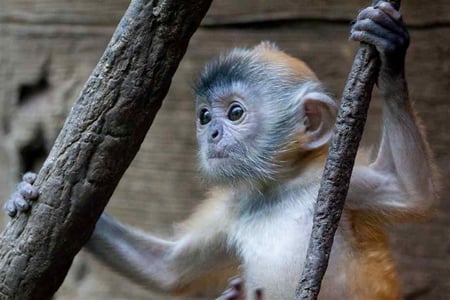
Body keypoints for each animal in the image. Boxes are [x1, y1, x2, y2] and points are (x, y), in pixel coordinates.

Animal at [5, 2, 438, 300]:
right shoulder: (234, 208)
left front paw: (390, 54)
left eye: (235, 112)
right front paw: (24, 193)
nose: (211, 133)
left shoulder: (337, 181)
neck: (277, 191)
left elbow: (410, 192)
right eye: (203, 116)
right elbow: (168, 269)